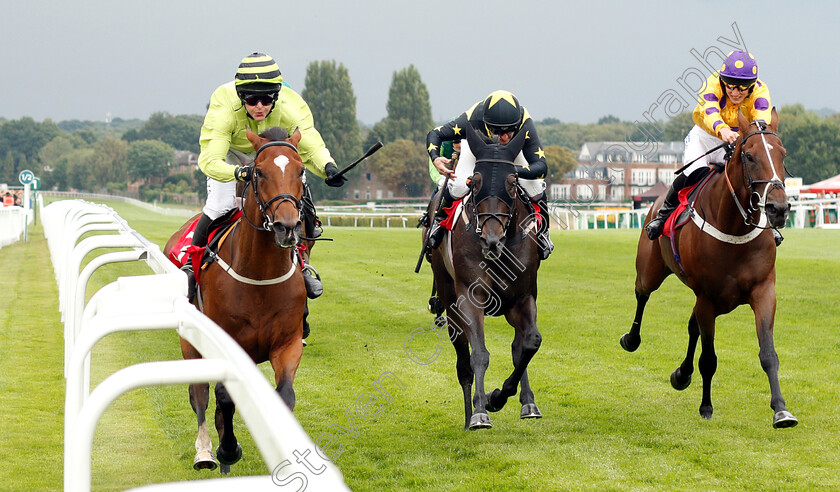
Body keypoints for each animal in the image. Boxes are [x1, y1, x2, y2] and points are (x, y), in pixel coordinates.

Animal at [164, 128, 308, 472]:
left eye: (301, 170)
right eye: (259, 172)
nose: (287, 226)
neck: (260, 275)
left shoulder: (288, 342)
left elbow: (285, 395)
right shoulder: (226, 344)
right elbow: (223, 396)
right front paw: (228, 448)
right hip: (191, 341)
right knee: (200, 393)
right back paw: (205, 452)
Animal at [426, 126, 544, 430]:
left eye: (512, 183)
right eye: (475, 182)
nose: (492, 240)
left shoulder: (523, 297)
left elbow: (529, 343)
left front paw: (500, 397)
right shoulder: (470, 297)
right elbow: (479, 353)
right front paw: (481, 409)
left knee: (517, 346)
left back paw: (527, 402)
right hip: (449, 299)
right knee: (463, 362)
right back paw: (470, 415)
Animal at [620, 107, 796, 426]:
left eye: (782, 154)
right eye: (749, 155)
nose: (778, 208)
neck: (734, 227)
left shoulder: (763, 291)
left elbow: (768, 353)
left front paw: (781, 410)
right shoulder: (708, 297)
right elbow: (709, 359)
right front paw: (706, 407)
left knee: (692, 327)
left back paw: (681, 374)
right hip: (651, 270)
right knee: (642, 294)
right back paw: (632, 339)